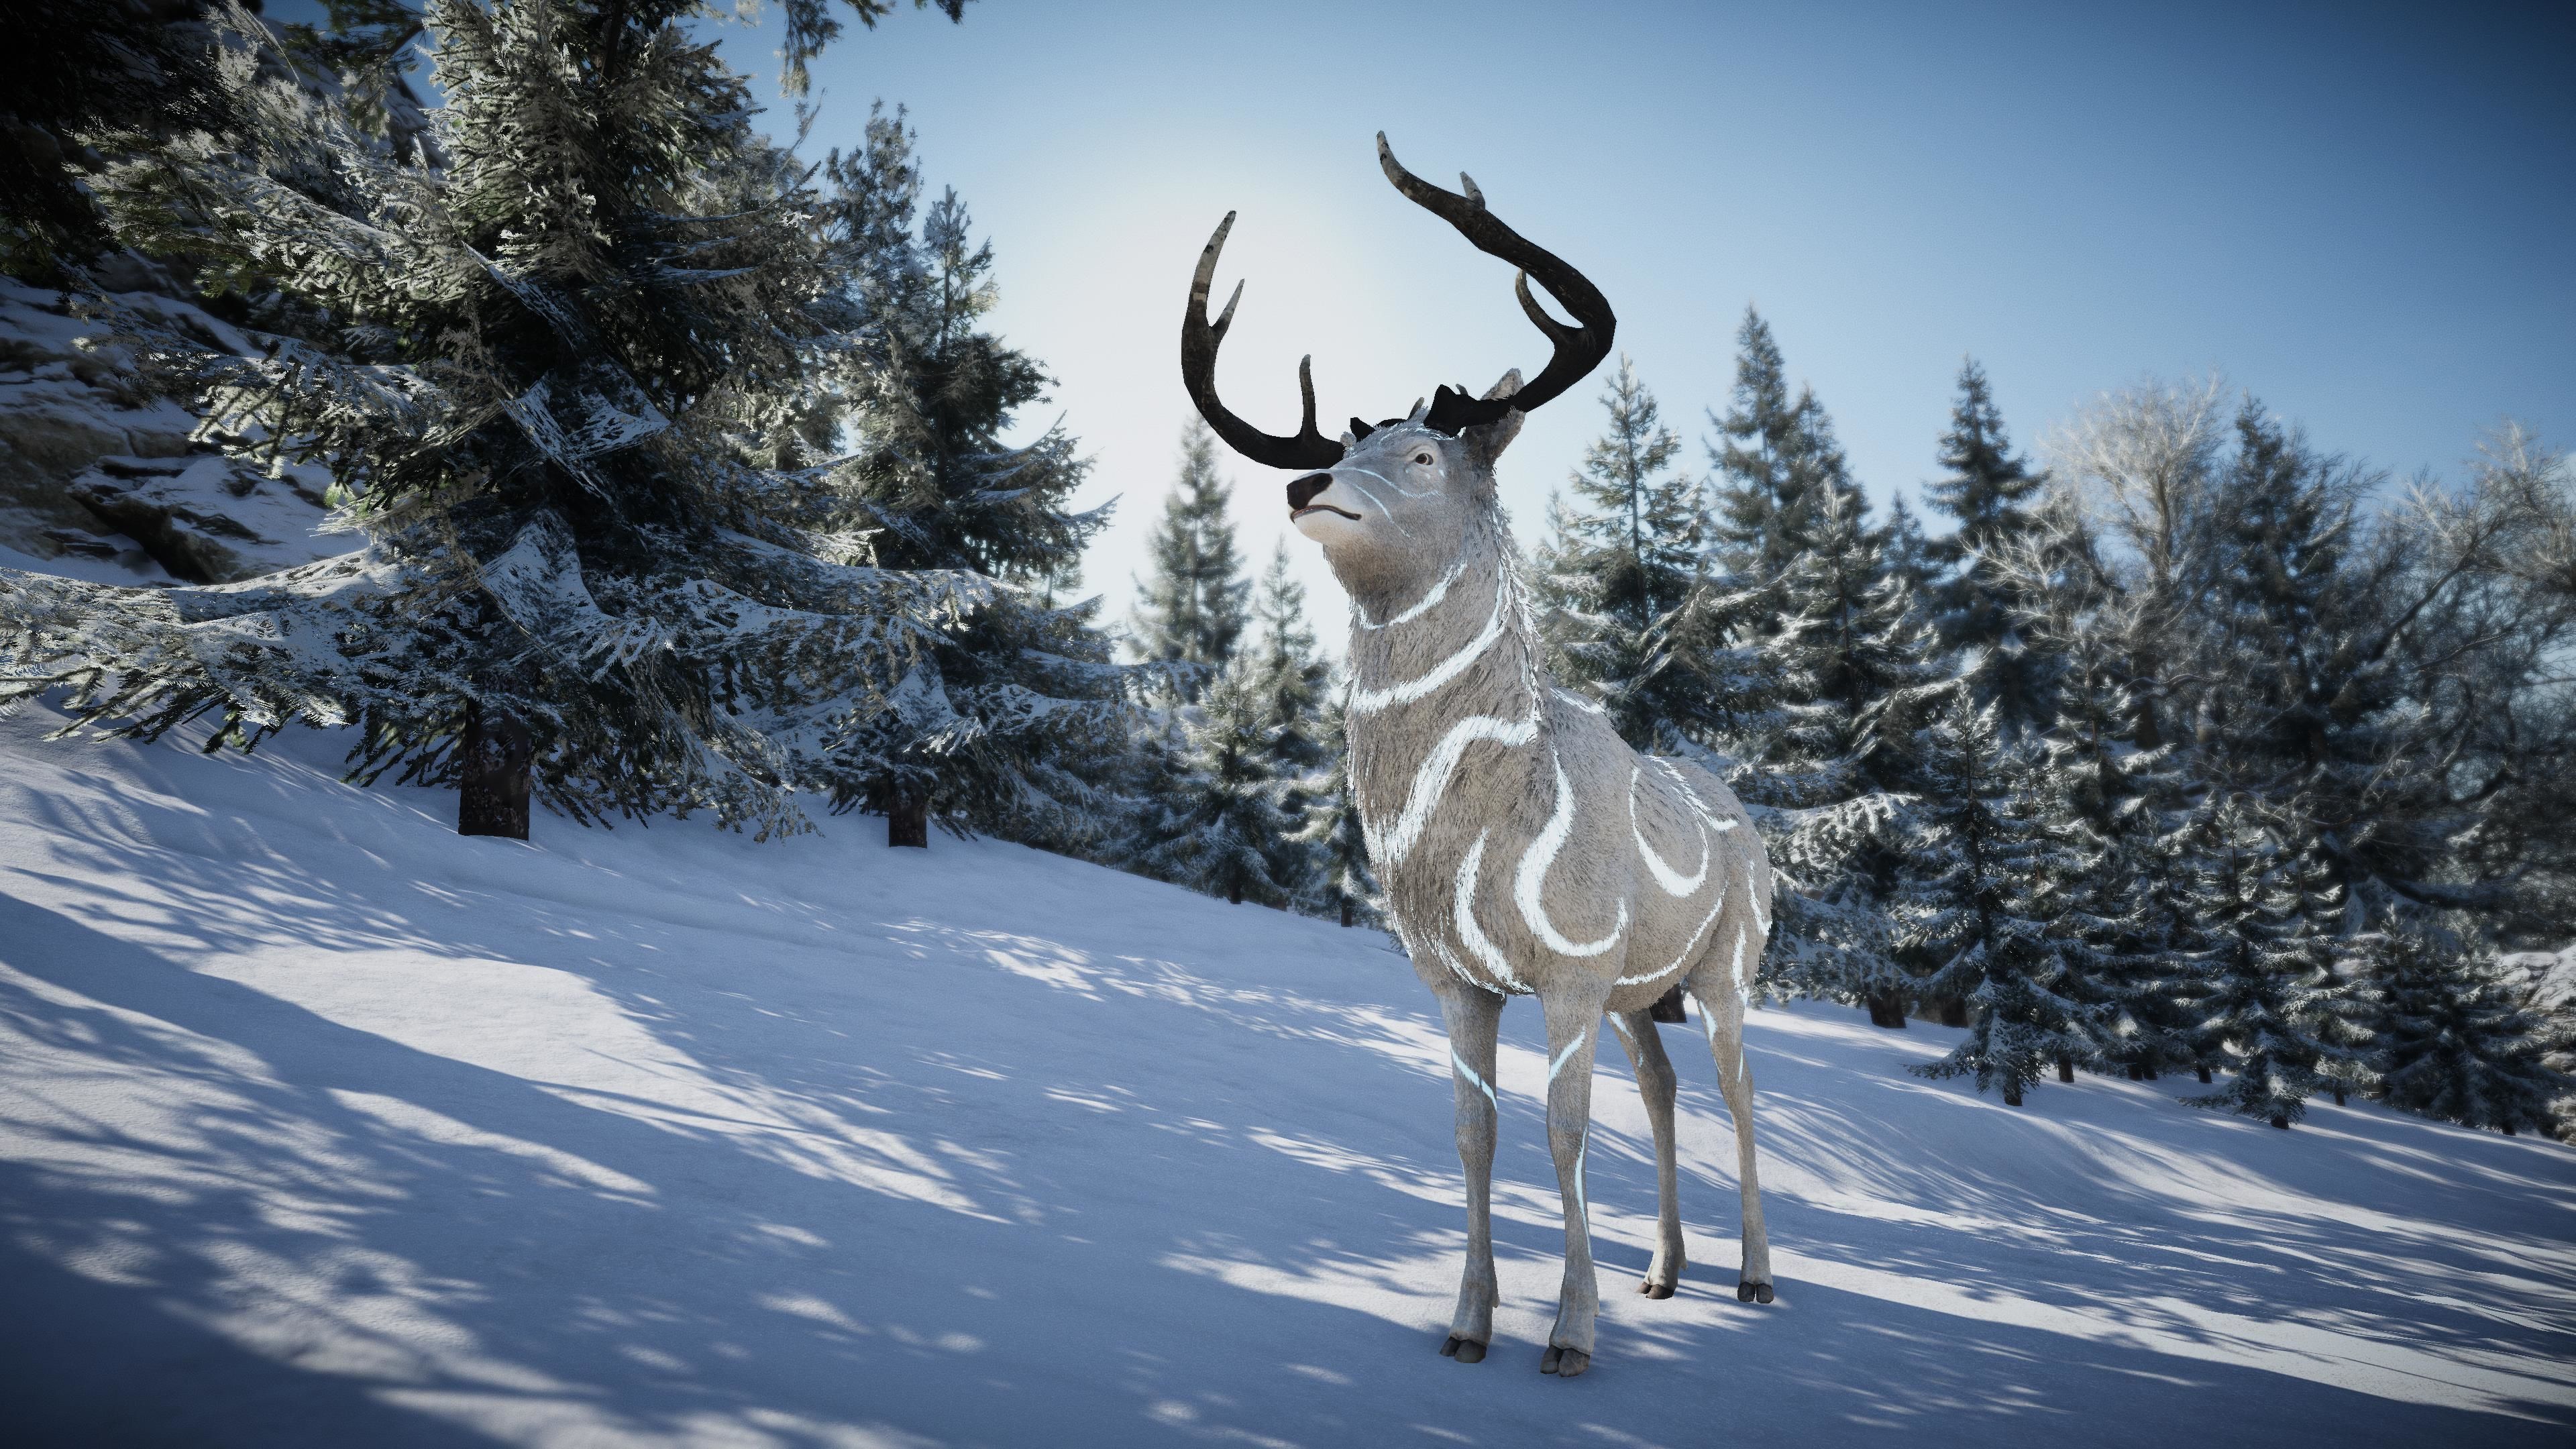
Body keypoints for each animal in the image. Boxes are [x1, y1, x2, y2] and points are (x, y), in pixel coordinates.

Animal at [1178, 135, 1777, 1378]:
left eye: (1418, 454)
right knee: (1664, 1088)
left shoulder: (1573, 966)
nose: (1304, 484)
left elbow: (1562, 1132)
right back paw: (1665, 1270)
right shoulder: (1457, 978)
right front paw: (1468, 1324)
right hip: (1644, 991)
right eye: (1345, 445)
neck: (1482, 823)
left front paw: (1570, 1336)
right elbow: (1472, 1134)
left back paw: (1751, 1275)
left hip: (1727, 962)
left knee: (1742, 1092)